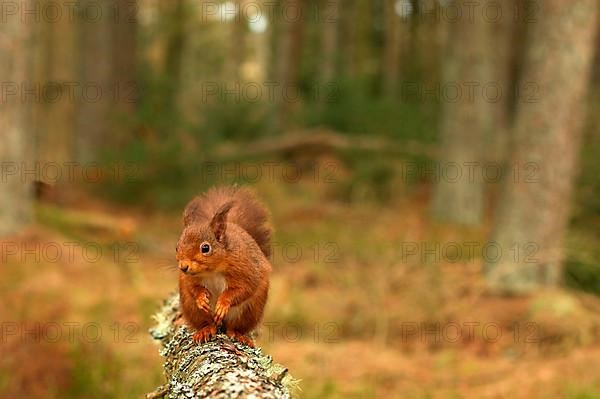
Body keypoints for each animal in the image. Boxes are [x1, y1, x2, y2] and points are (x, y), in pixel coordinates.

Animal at [176, 187, 272, 346]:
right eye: (177, 247)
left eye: (205, 248)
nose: (183, 267)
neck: (212, 271)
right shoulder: (188, 279)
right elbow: (192, 288)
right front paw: (201, 298)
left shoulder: (245, 269)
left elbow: (243, 288)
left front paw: (223, 303)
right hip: (192, 309)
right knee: (208, 323)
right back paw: (205, 330)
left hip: (249, 310)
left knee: (234, 327)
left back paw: (238, 335)